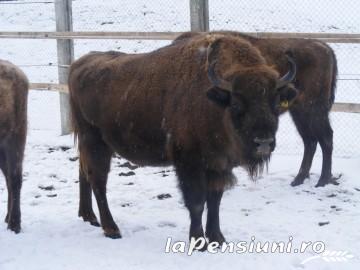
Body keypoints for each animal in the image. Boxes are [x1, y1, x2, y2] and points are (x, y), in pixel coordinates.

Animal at [69, 33, 296, 243]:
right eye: (237, 103)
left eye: (275, 101)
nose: (263, 143)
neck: (214, 101)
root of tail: (77, 65)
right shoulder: (189, 162)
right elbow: (196, 202)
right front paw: (197, 241)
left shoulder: (219, 164)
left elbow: (215, 200)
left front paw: (217, 239)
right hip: (95, 142)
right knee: (98, 180)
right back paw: (111, 229)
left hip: (91, 144)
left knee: (84, 171)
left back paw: (89, 217)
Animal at [176, 31, 338, 188]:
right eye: (236, 104)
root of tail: (325, 47)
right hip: (298, 112)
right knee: (310, 141)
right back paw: (298, 179)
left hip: (313, 110)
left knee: (326, 138)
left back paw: (322, 181)